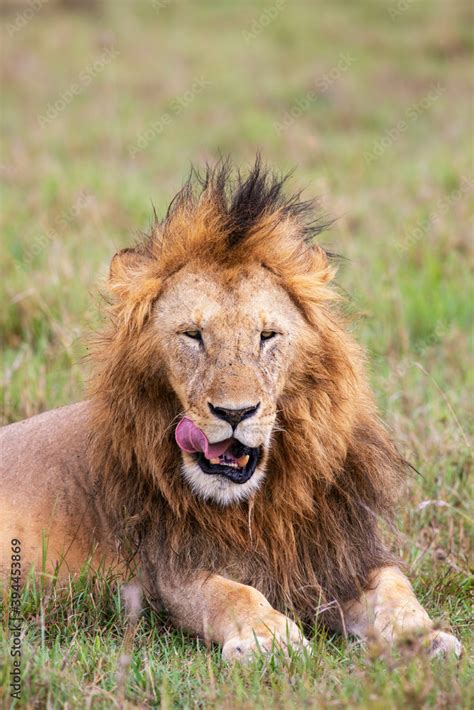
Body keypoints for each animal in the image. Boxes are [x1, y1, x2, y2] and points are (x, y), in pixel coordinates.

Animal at [0, 160, 460, 660]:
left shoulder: (342, 554)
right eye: (193, 334)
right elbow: (231, 592)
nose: (235, 413)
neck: (259, 505)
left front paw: (423, 636)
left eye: (267, 336)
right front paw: (270, 637)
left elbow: (396, 585)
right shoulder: (165, 573)